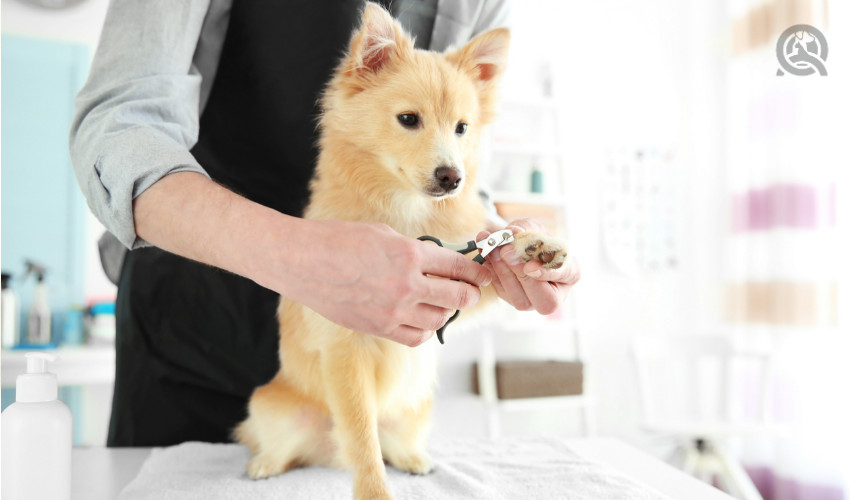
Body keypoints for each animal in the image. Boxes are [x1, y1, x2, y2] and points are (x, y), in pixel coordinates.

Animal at [235, 4, 568, 500]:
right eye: (409, 119)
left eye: (462, 128)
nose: (453, 176)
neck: (407, 213)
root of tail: (325, 454)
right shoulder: (345, 348)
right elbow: (362, 440)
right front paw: (374, 492)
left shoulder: (460, 285)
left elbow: (491, 265)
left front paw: (534, 245)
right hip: (274, 407)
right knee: (285, 442)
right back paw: (265, 465)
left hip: (417, 409)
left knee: (392, 443)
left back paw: (414, 459)